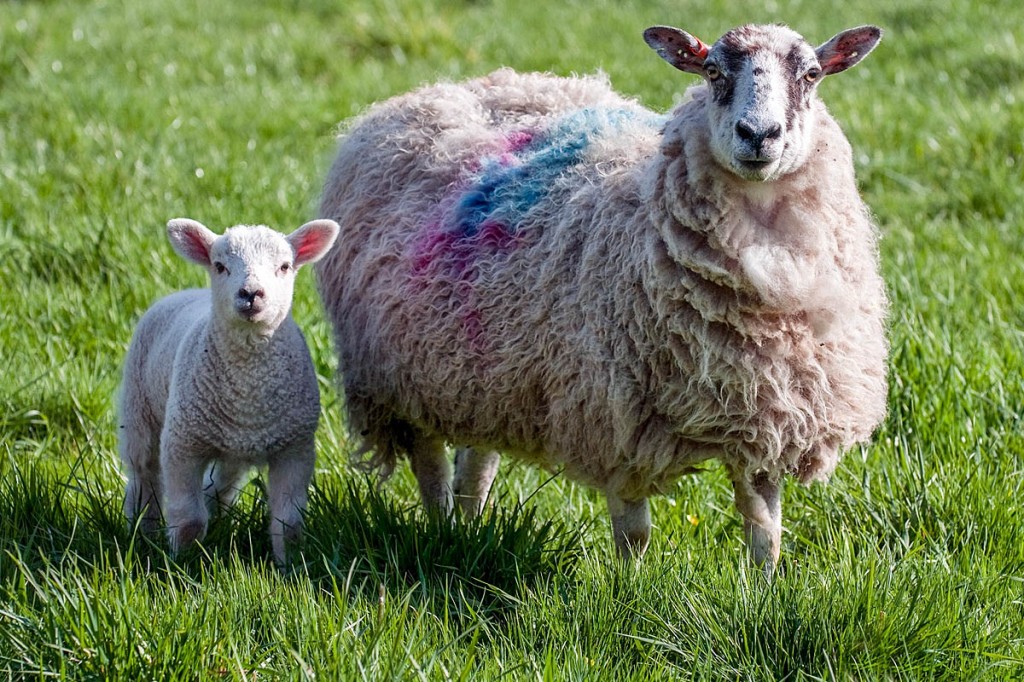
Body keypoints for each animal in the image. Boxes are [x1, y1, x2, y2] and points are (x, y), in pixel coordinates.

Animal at [118, 217, 339, 564]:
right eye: (219, 266)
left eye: (284, 266)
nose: (250, 293)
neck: (248, 389)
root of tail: (188, 292)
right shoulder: (182, 444)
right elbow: (189, 520)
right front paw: (183, 563)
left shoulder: (295, 449)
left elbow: (288, 523)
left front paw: (288, 566)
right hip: (138, 410)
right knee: (143, 477)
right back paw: (141, 533)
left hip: (234, 447)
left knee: (221, 484)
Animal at [315, 23, 888, 573]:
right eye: (711, 71)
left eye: (812, 74)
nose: (758, 135)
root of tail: (453, 88)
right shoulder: (617, 419)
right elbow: (634, 533)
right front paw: (630, 591)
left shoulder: (767, 413)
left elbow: (764, 527)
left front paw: (763, 592)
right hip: (397, 376)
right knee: (431, 467)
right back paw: (441, 535)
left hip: (481, 370)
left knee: (475, 465)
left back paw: (468, 530)